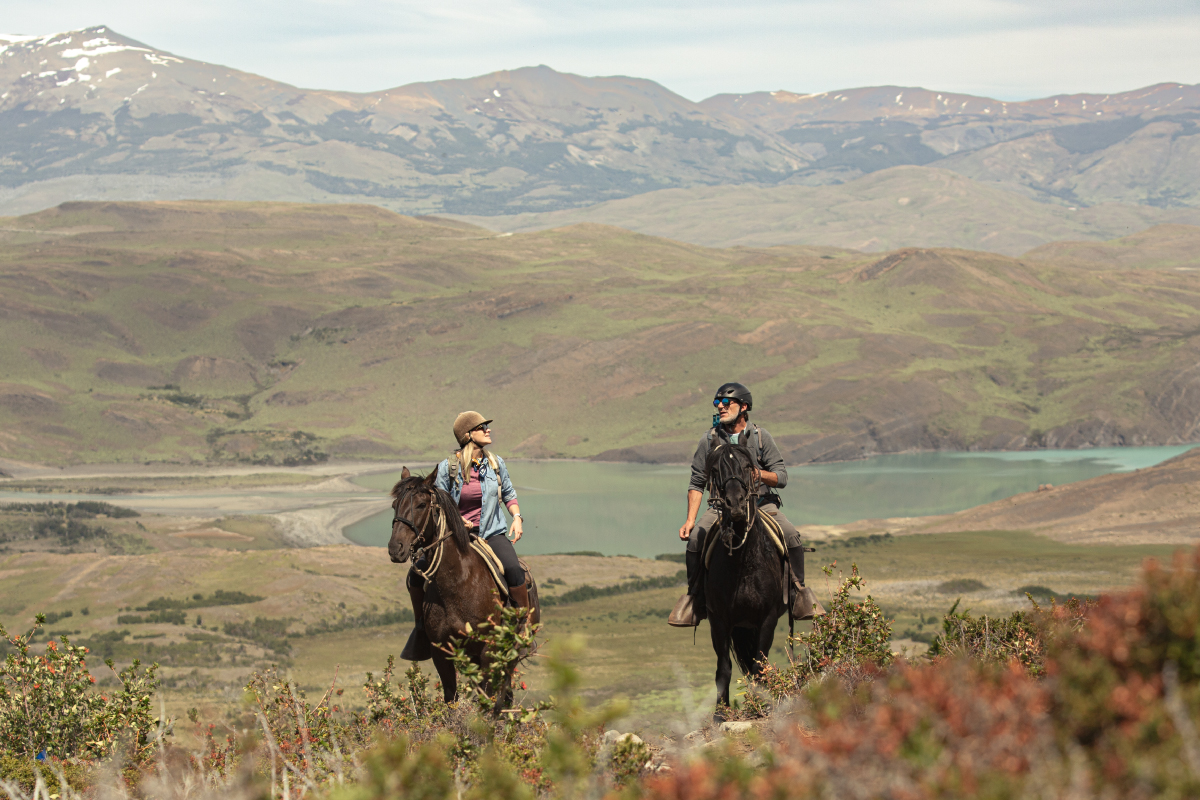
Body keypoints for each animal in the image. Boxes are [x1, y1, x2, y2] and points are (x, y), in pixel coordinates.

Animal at [388, 465, 544, 705]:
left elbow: (486, 699)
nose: (396, 548)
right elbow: (451, 698)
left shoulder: (487, 650)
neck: (457, 582)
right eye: (395, 505)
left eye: (421, 505)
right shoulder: (442, 652)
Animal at [700, 441, 787, 724]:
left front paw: (763, 706)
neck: (744, 562)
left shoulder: (768, 619)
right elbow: (724, 667)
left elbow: (760, 664)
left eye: (749, 466)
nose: (735, 504)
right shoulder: (719, 620)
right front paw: (720, 713)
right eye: (715, 469)